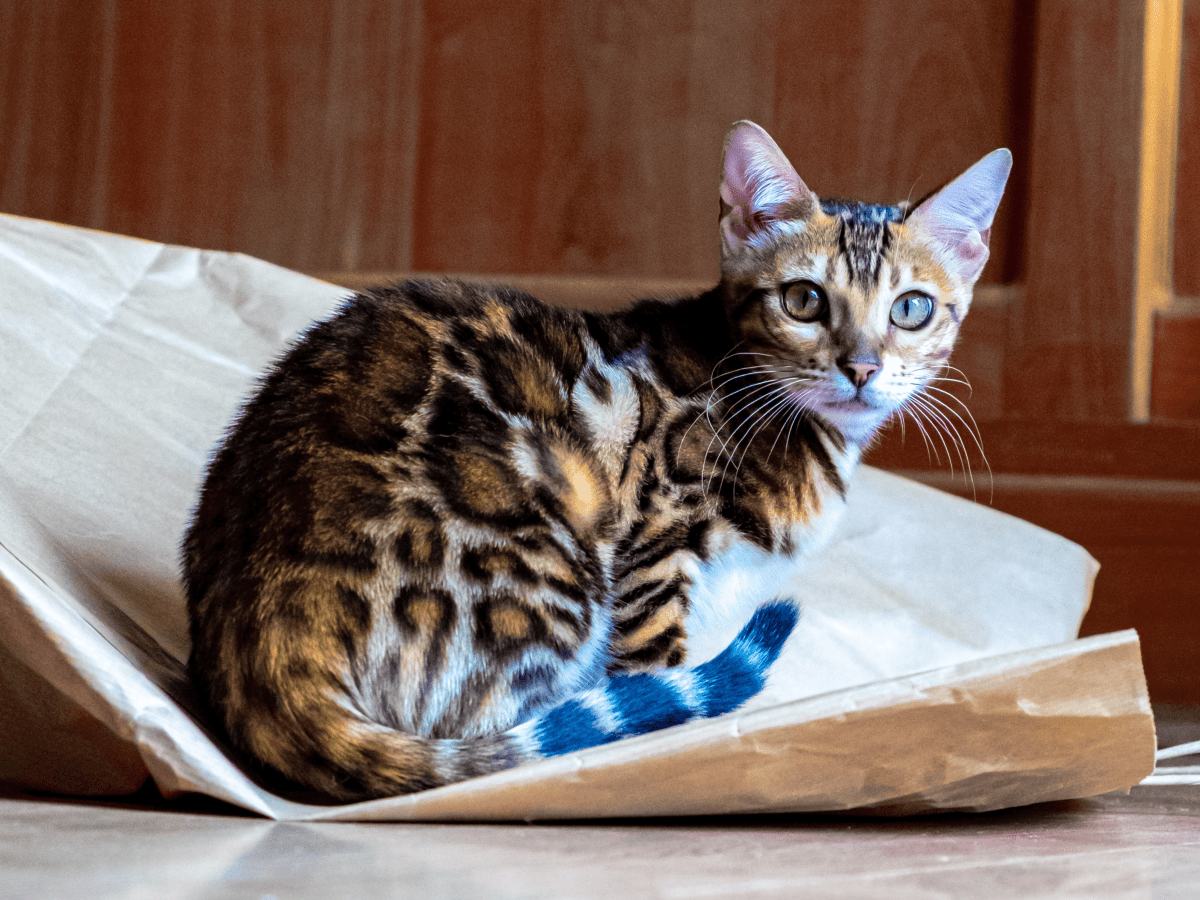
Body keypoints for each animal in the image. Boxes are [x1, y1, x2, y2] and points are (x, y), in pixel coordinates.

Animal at [184, 121, 1012, 801]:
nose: (862, 367)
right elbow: (658, 673)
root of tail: (268, 635)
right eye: (804, 300)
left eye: (912, 308)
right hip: (556, 561)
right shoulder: (660, 538)